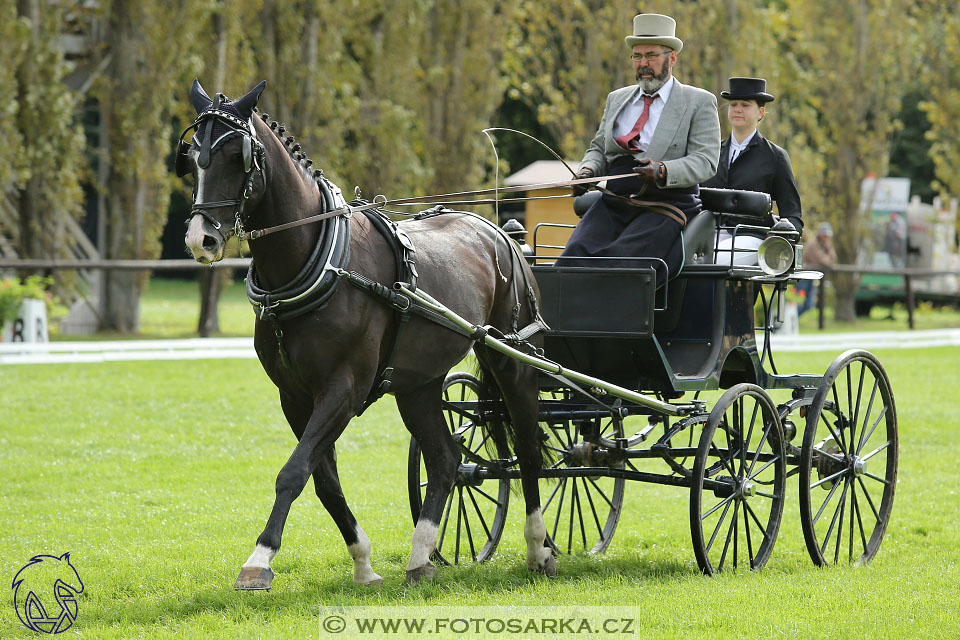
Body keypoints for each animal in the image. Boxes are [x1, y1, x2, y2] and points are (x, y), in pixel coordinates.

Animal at [178, 80, 556, 592]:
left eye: (239, 155)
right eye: (192, 154)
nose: (201, 238)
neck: (318, 261)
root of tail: (501, 233)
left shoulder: (344, 387)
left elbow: (293, 471)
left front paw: (259, 559)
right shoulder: (295, 396)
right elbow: (322, 479)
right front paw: (363, 562)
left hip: (514, 359)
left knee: (529, 450)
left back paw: (539, 549)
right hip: (419, 384)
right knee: (445, 458)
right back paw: (420, 557)